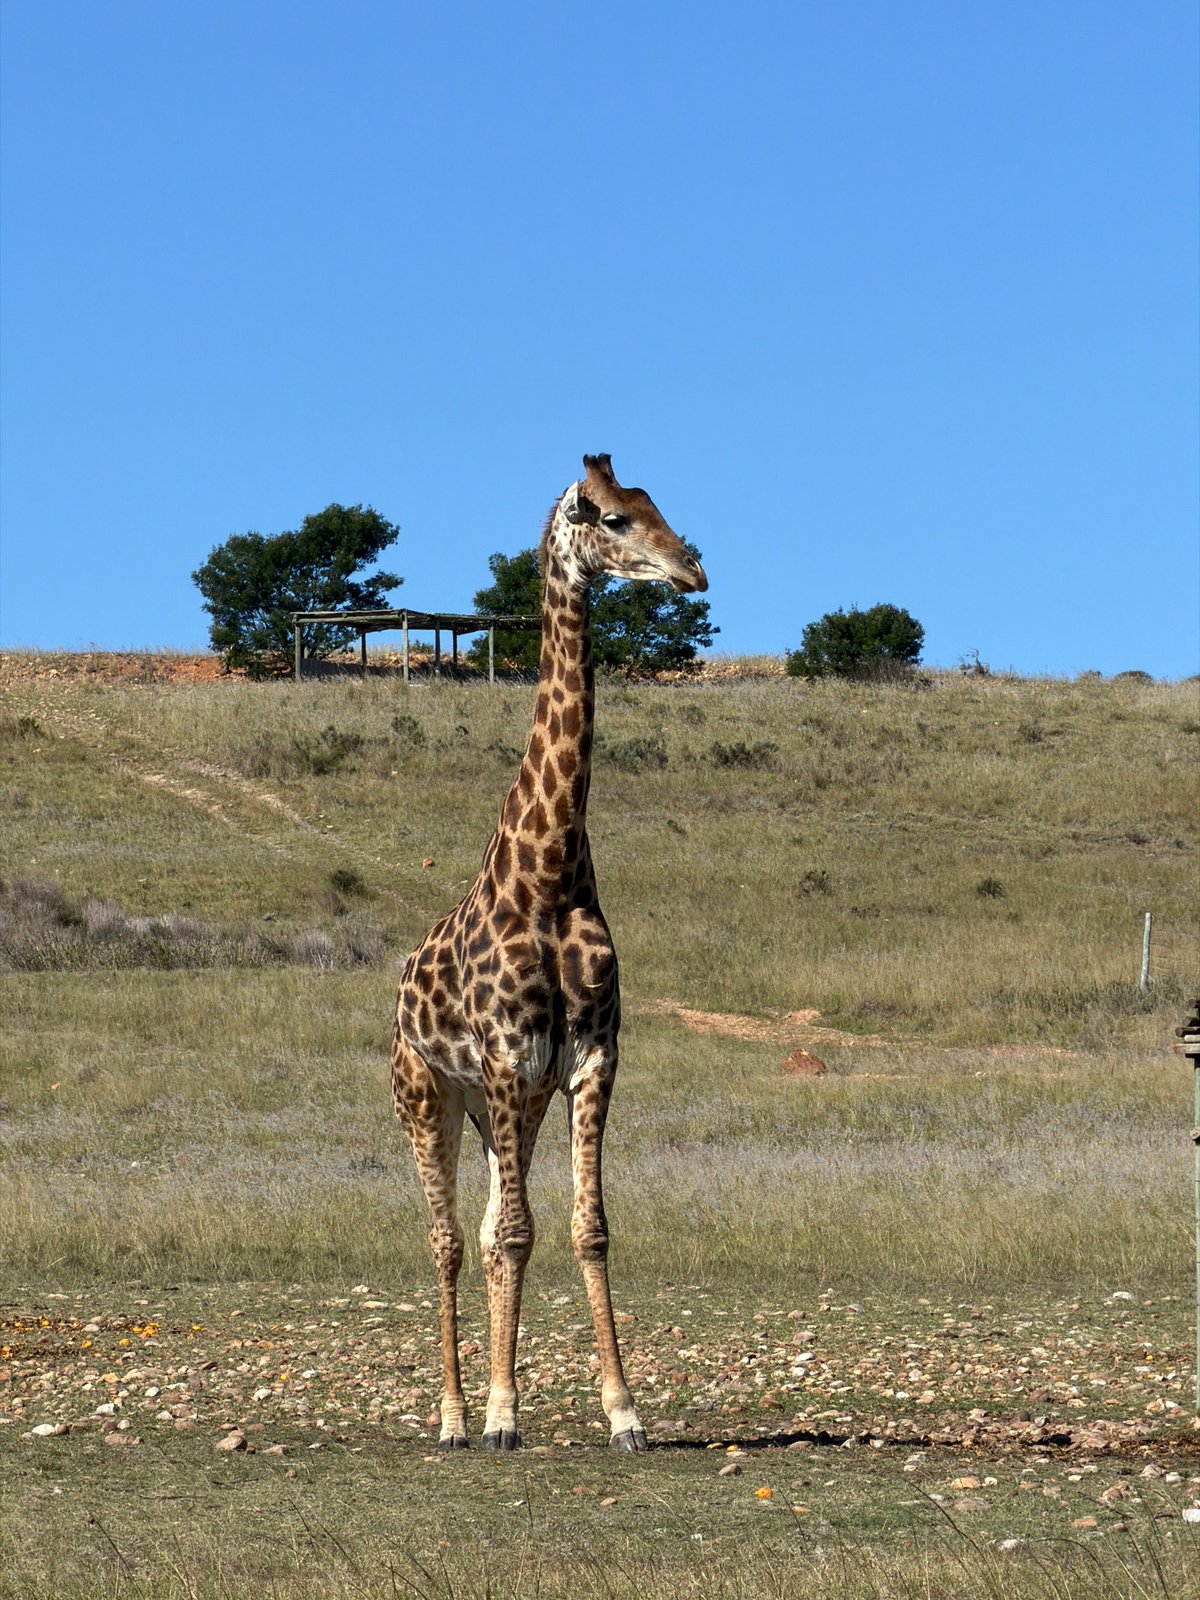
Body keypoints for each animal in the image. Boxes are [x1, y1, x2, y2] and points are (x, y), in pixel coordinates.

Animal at [390, 453, 707, 1452]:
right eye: (607, 517)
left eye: (655, 506)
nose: (692, 569)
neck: (553, 873)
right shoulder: (502, 1055)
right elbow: (516, 1235)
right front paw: (498, 1414)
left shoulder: (588, 1055)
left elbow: (584, 1227)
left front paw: (624, 1413)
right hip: (427, 1093)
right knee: (451, 1238)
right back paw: (456, 1417)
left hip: (512, 1108)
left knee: (494, 1224)